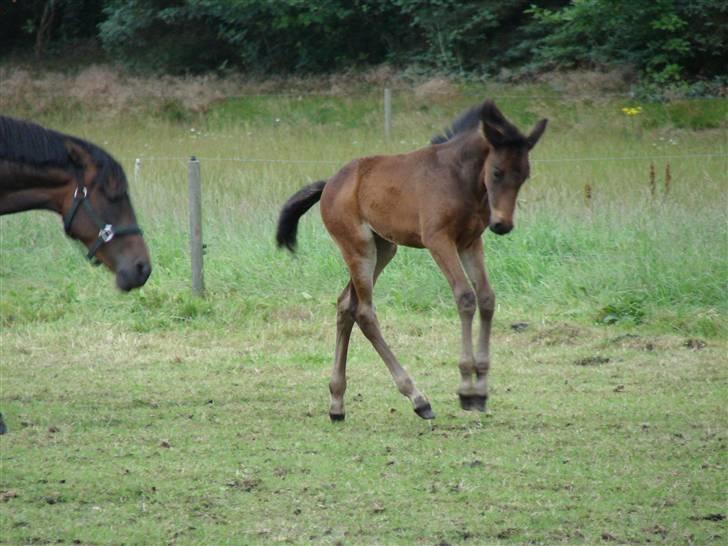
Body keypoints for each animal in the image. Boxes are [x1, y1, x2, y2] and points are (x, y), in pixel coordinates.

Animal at [278, 100, 544, 418]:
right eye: (496, 172)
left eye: (525, 175)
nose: (502, 225)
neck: (459, 179)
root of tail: (330, 183)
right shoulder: (438, 240)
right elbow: (466, 297)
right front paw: (466, 389)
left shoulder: (470, 242)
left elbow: (487, 298)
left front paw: (480, 389)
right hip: (359, 248)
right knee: (364, 312)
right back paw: (417, 398)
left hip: (384, 248)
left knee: (345, 304)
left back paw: (337, 403)